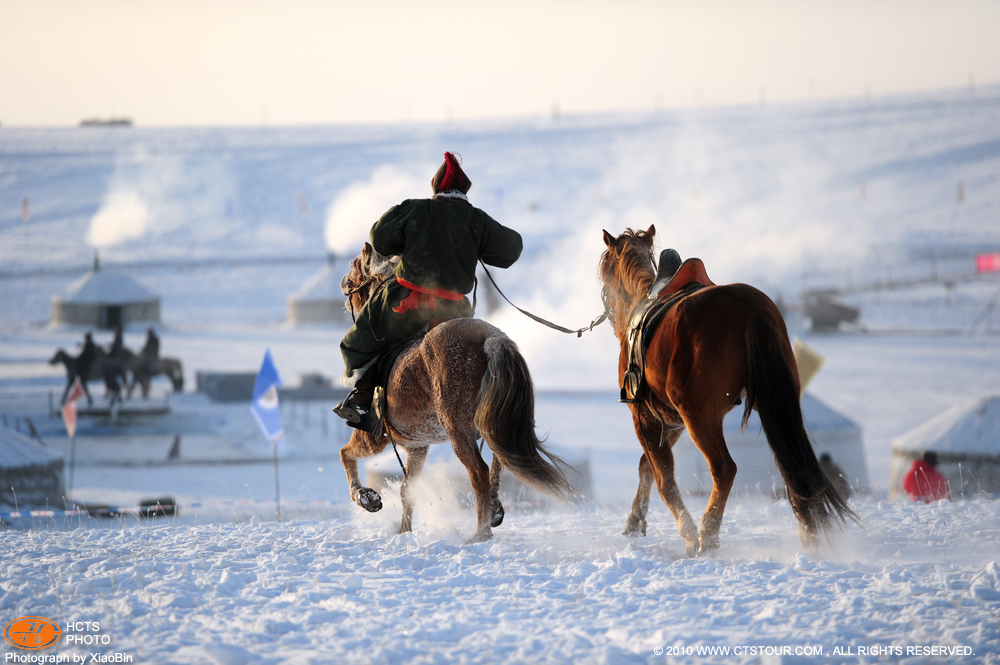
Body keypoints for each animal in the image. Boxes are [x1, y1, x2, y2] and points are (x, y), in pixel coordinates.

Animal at [338, 241, 572, 544]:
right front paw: (404, 533)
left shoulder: (373, 434)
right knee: (500, 459)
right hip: (487, 424)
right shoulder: (417, 446)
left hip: (457, 430)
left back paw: (480, 532)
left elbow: (346, 454)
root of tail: (491, 339)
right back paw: (493, 510)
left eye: (355, 267)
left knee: (479, 472)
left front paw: (366, 497)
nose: (344, 286)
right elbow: (408, 491)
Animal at [596, 227, 856, 556]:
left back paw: (707, 534)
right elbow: (648, 467)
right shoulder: (672, 421)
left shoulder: (645, 416)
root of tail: (749, 308)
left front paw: (688, 534)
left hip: (701, 417)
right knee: (792, 465)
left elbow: (663, 477)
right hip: (776, 405)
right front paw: (635, 520)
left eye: (604, 269)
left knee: (724, 469)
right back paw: (809, 533)